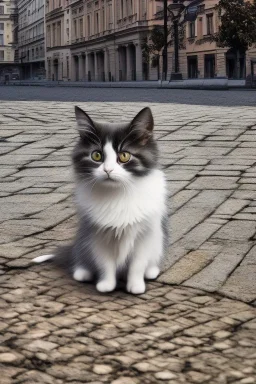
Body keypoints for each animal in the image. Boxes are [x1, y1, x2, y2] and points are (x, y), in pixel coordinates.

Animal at [33, 105, 169, 294]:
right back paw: (82, 272)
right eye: (96, 156)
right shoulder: (97, 234)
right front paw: (106, 285)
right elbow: (105, 264)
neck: (117, 194)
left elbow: (137, 264)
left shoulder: (145, 235)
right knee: (82, 258)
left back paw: (151, 271)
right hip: (83, 239)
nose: (108, 170)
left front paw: (136, 286)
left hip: (157, 241)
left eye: (124, 156)